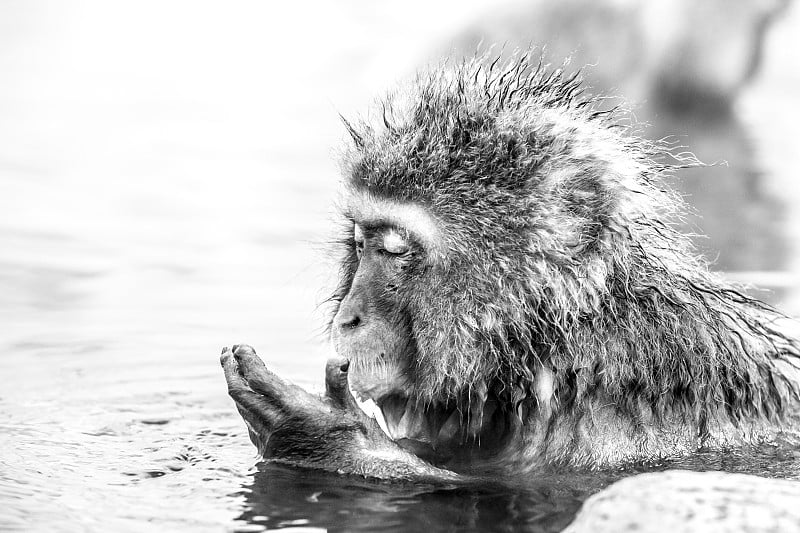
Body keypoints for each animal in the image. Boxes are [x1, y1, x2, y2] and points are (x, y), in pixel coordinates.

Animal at [219, 53, 800, 478]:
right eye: (361, 244)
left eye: (396, 249)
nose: (348, 316)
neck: (555, 341)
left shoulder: (622, 413)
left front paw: (328, 437)